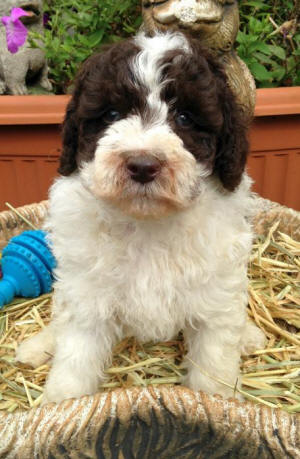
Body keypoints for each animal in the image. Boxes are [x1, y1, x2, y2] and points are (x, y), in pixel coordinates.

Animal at [16, 31, 264, 402]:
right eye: (112, 113)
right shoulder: (88, 294)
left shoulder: (215, 294)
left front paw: (218, 401)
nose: (143, 165)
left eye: (185, 118)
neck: (148, 223)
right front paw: (59, 403)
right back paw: (36, 347)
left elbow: (214, 363)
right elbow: (75, 360)